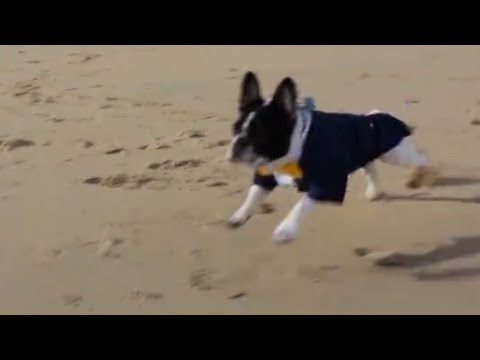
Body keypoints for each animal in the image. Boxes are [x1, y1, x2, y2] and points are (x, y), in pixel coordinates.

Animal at [225, 70, 438, 245]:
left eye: (260, 135)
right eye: (235, 129)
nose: (237, 145)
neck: (295, 150)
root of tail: (374, 116)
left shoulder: (327, 183)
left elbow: (302, 205)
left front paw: (286, 229)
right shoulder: (265, 174)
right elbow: (254, 194)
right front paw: (240, 215)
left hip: (394, 154)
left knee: (419, 159)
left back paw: (425, 174)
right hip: (367, 152)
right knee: (371, 167)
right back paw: (374, 191)